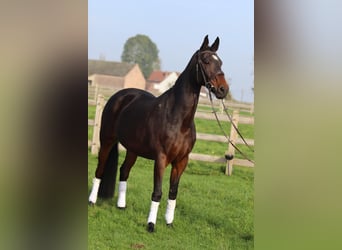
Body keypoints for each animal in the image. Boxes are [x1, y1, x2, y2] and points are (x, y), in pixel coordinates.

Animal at [87, 35, 230, 232]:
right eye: (207, 61)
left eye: (220, 62)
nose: (223, 89)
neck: (178, 119)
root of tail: (119, 96)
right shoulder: (161, 159)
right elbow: (157, 192)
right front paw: (151, 224)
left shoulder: (181, 161)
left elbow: (173, 192)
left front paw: (169, 222)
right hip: (107, 140)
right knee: (100, 168)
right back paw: (92, 201)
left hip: (133, 149)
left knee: (124, 171)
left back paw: (121, 205)